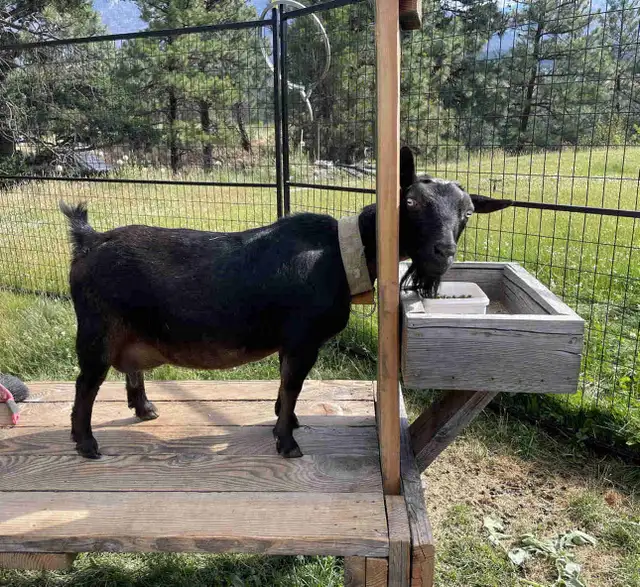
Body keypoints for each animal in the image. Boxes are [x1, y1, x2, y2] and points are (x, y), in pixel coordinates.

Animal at [60, 146, 511, 459]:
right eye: (412, 203)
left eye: (468, 213)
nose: (443, 252)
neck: (343, 252)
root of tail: (89, 241)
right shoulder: (303, 338)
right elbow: (294, 384)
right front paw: (287, 442)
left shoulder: (289, 340)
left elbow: (284, 383)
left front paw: (287, 421)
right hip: (96, 329)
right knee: (86, 383)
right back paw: (86, 444)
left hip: (129, 329)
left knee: (129, 370)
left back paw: (145, 409)